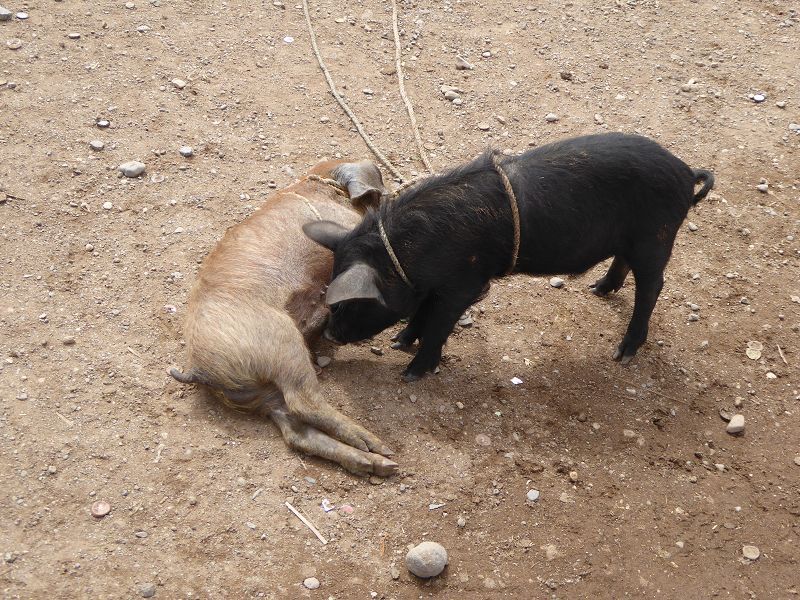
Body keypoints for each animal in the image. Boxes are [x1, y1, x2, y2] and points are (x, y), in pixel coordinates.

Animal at [170, 157, 396, 476]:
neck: (320, 183)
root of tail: (198, 369)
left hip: (264, 394)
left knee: (296, 433)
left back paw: (380, 464)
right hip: (281, 342)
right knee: (304, 403)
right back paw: (378, 447)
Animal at [304, 134, 712, 382]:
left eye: (345, 304)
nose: (330, 334)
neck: (408, 255)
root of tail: (685, 171)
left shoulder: (465, 283)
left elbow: (438, 324)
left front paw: (410, 373)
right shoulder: (435, 286)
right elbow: (421, 315)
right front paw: (399, 342)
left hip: (655, 237)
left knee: (652, 287)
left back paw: (622, 353)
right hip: (634, 239)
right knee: (622, 265)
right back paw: (598, 289)